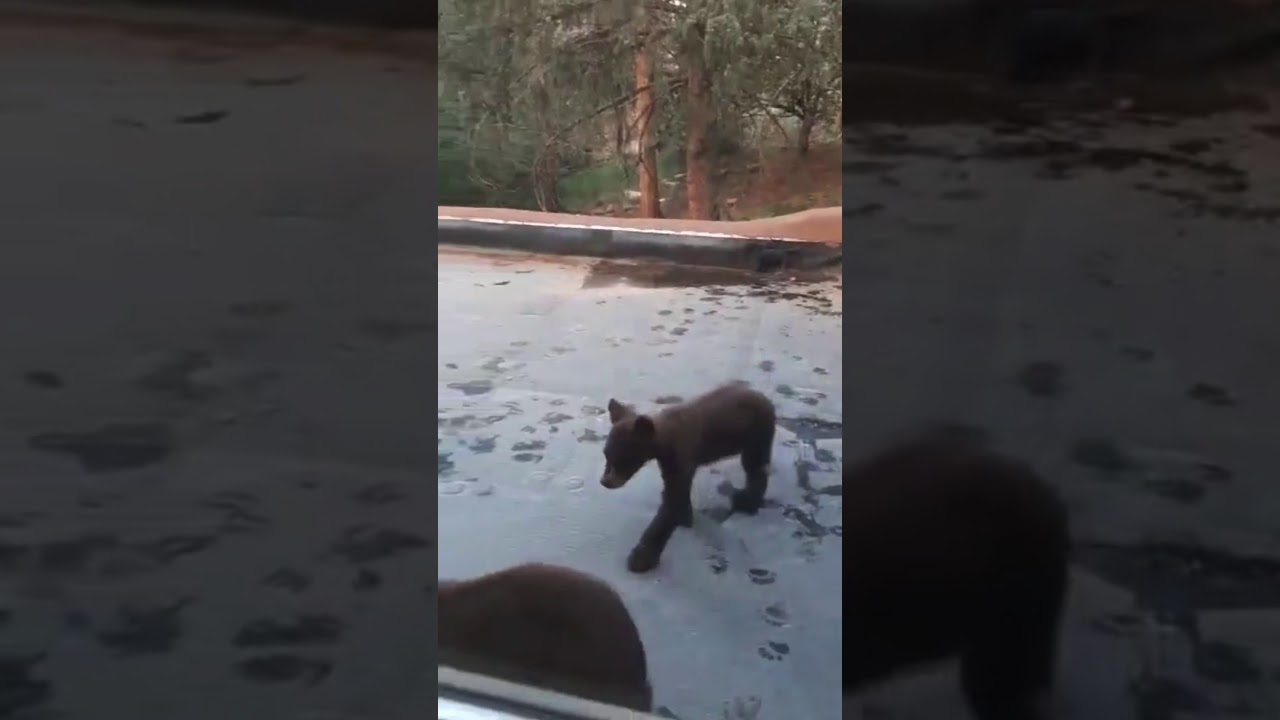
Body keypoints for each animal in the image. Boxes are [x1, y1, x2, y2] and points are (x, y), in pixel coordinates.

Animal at [600, 381, 777, 574]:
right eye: (606, 454)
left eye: (623, 459)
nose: (605, 482)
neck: (665, 440)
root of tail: (762, 396)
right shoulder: (669, 464)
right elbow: (675, 493)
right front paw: (685, 517)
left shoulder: (682, 456)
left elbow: (671, 502)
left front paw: (641, 558)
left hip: (757, 431)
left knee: (755, 465)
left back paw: (746, 501)